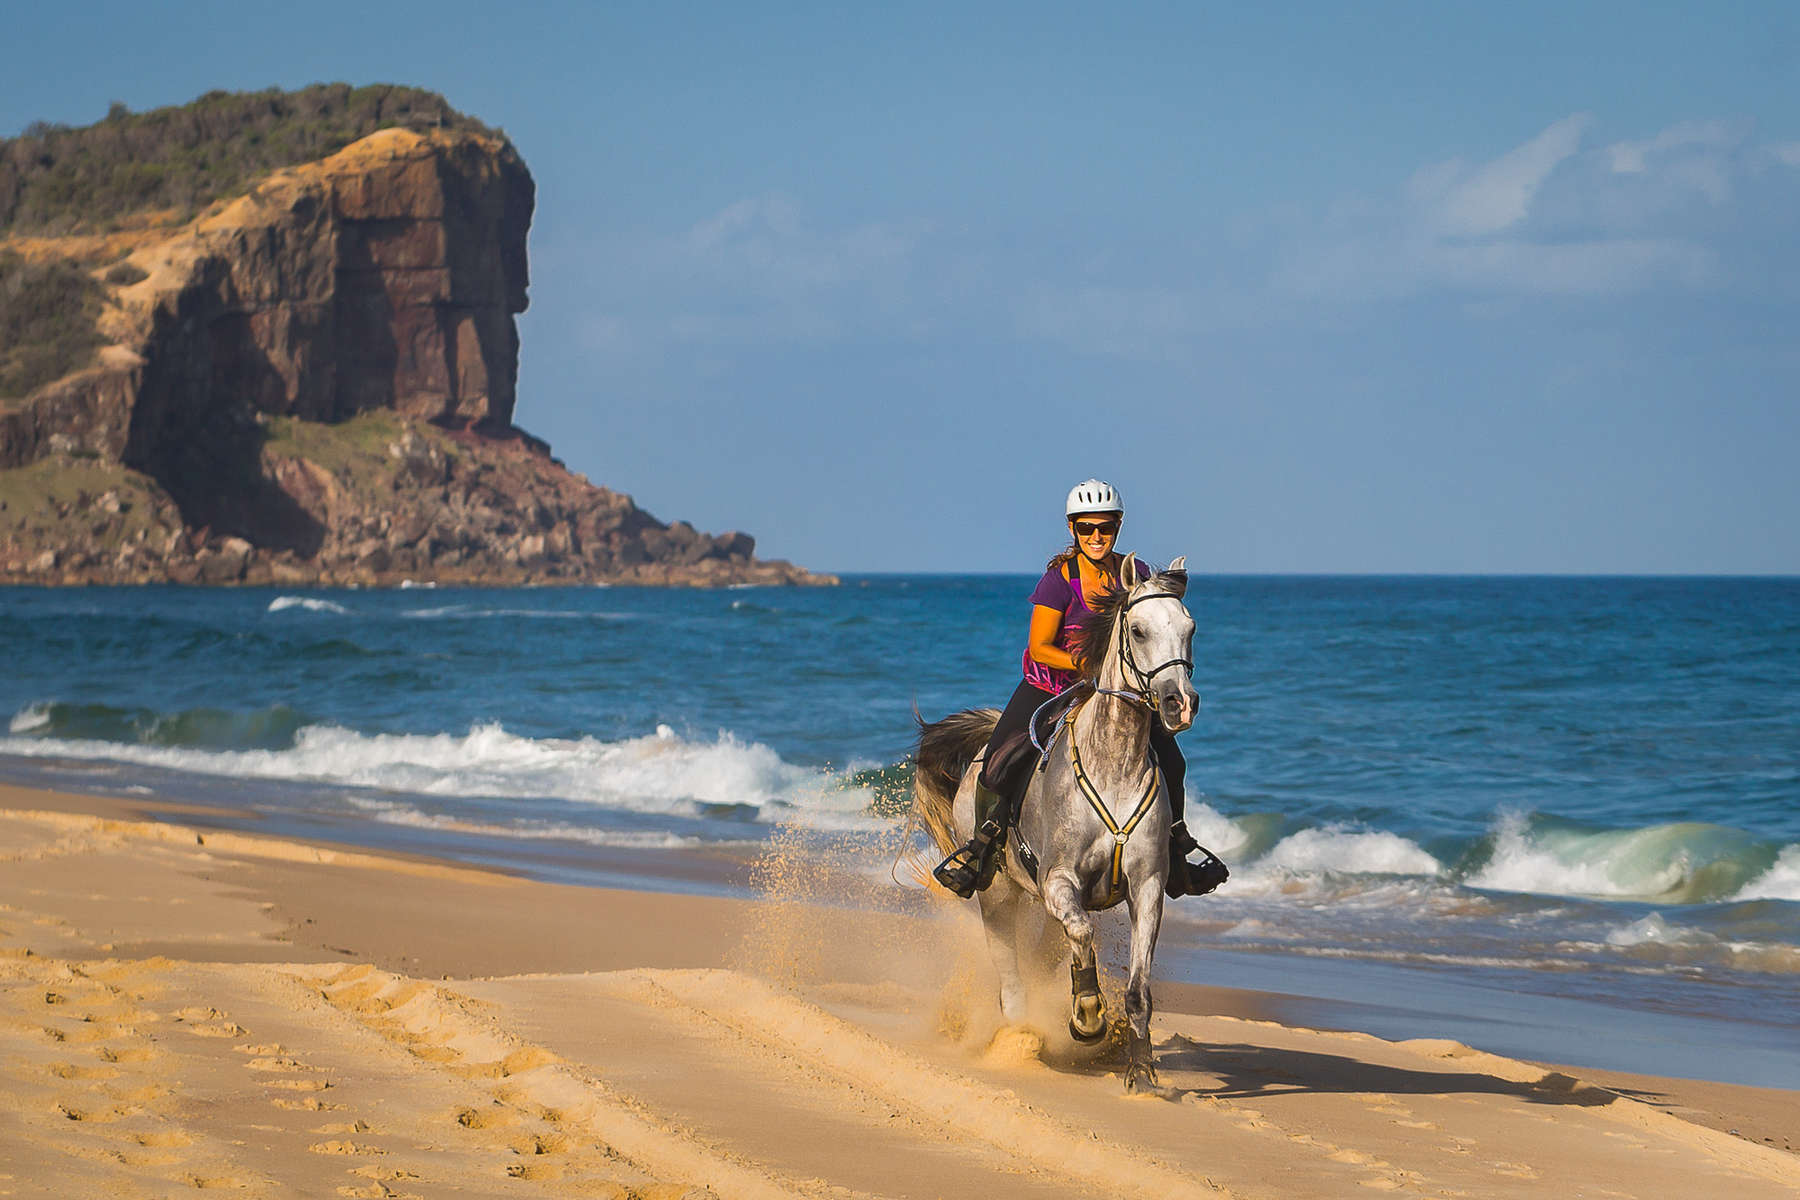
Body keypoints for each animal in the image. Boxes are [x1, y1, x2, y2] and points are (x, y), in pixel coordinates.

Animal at [914, 557, 1195, 1093]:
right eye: (1138, 630)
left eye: (1189, 629)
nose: (1179, 704)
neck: (1115, 764)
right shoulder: (1058, 880)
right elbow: (1082, 935)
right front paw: (1086, 1015)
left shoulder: (1147, 886)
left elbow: (1138, 987)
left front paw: (1141, 1072)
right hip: (999, 892)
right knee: (1010, 972)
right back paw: (1021, 1037)